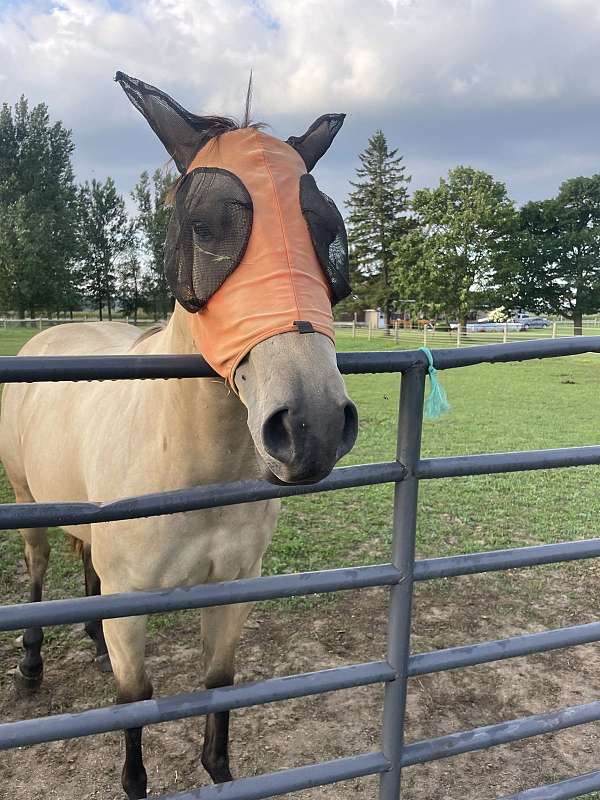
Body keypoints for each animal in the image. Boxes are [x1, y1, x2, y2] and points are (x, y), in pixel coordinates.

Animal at [0, 72, 358, 799]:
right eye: (204, 225)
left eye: (329, 234)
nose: (311, 425)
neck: (192, 469)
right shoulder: (133, 605)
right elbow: (135, 700)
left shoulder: (234, 590)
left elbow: (219, 685)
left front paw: (219, 771)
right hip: (27, 502)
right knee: (39, 569)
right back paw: (31, 666)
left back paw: (88, 638)